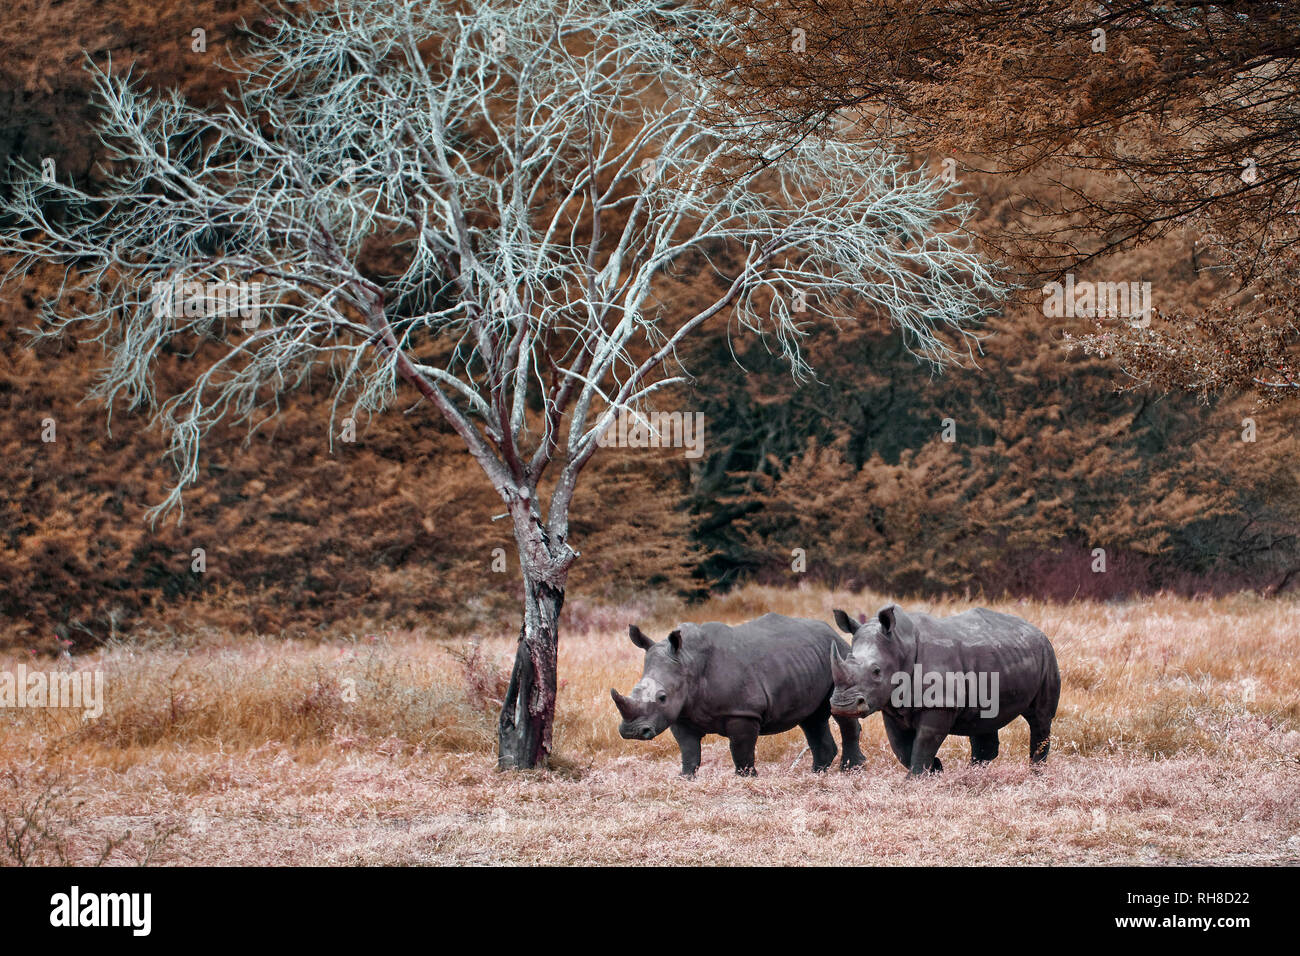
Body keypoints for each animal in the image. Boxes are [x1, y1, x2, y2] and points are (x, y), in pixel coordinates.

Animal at [613, 613, 868, 780]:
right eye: (634, 691)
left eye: (662, 697)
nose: (632, 732)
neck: (688, 661)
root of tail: (835, 633)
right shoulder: (680, 714)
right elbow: (689, 750)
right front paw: (684, 778)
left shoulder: (743, 712)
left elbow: (741, 750)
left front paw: (746, 778)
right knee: (812, 719)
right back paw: (816, 774)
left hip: (841, 658)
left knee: (841, 711)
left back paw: (850, 771)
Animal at [826, 606, 1060, 780]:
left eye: (876, 671)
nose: (842, 706)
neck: (900, 645)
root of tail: (1035, 628)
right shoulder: (889, 705)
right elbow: (900, 746)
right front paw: (935, 770)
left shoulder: (940, 703)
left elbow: (925, 740)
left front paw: (916, 778)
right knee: (984, 718)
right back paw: (973, 775)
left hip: (1047, 654)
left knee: (1040, 718)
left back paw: (1036, 774)